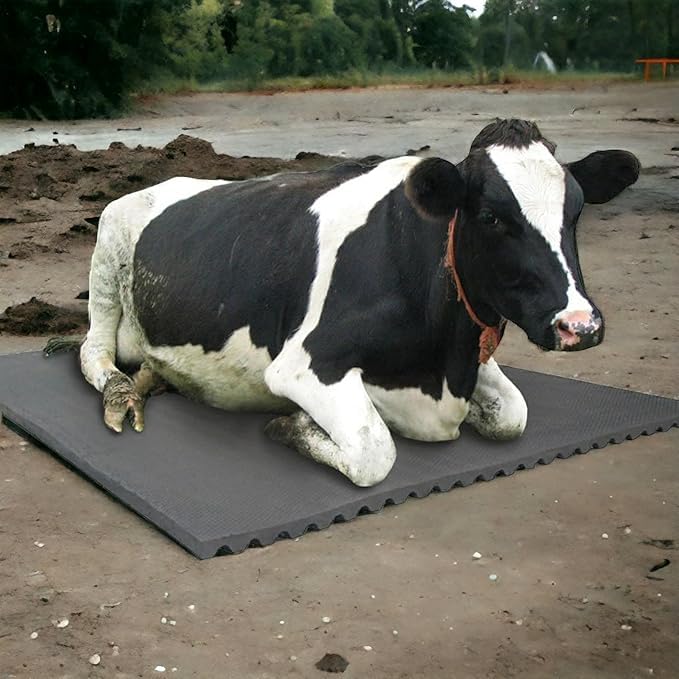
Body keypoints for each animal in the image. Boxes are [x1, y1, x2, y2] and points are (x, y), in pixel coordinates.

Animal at [61, 119, 640, 487]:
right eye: (492, 216)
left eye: (577, 211)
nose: (579, 325)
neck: (442, 364)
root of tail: (160, 184)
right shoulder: (302, 365)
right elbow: (373, 450)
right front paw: (292, 425)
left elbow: (513, 415)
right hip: (107, 256)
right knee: (94, 350)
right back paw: (122, 392)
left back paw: (154, 378)